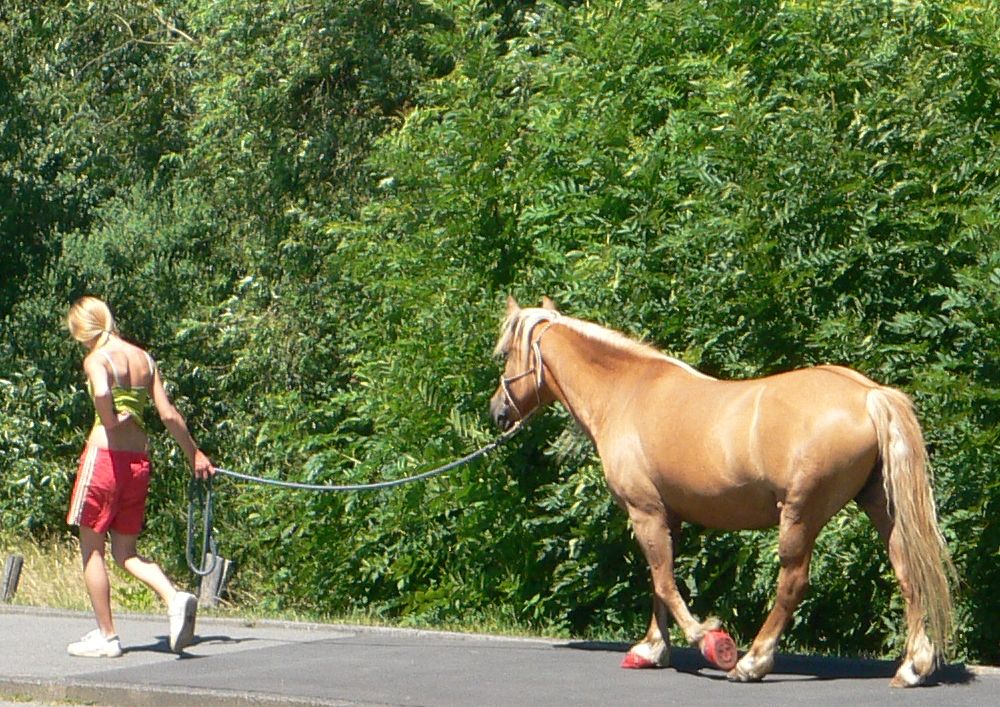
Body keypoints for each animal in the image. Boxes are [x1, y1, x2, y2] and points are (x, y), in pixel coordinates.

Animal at [488, 296, 956, 688]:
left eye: (505, 354)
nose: (497, 412)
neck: (627, 392)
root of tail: (869, 395)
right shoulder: (668, 516)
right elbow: (659, 582)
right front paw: (651, 649)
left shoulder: (645, 512)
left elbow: (664, 581)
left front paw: (709, 639)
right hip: (881, 507)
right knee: (907, 572)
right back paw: (913, 666)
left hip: (800, 515)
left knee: (793, 582)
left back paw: (752, 661)